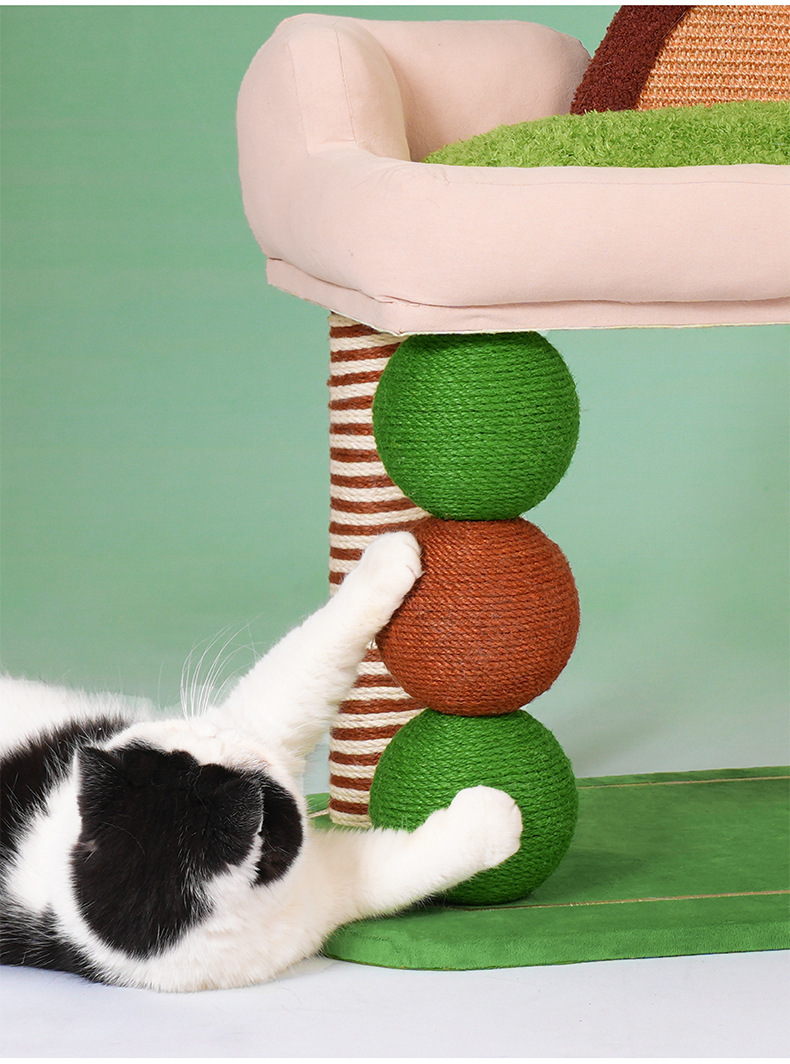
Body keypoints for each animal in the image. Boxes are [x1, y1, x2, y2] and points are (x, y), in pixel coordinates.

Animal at [0, 532, 522, 992]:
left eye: (183, 741)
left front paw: (382, 558)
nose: (221, 734)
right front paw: (492, 820)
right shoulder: (312, 890)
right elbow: (400, 868)